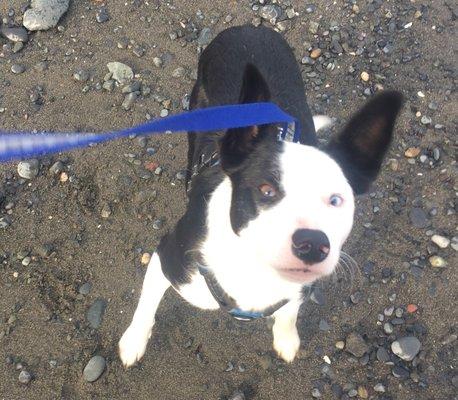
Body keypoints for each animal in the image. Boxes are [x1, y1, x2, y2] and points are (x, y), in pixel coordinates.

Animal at [119, 25, 404, 368]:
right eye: (266, 190)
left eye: (337, 200)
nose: (312, 244)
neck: (255, 273)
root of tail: (248, 28)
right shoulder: (167, 257)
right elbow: (146, 306)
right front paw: (133, 341)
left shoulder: (296, 290)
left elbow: (289, 312)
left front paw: (286, 339)